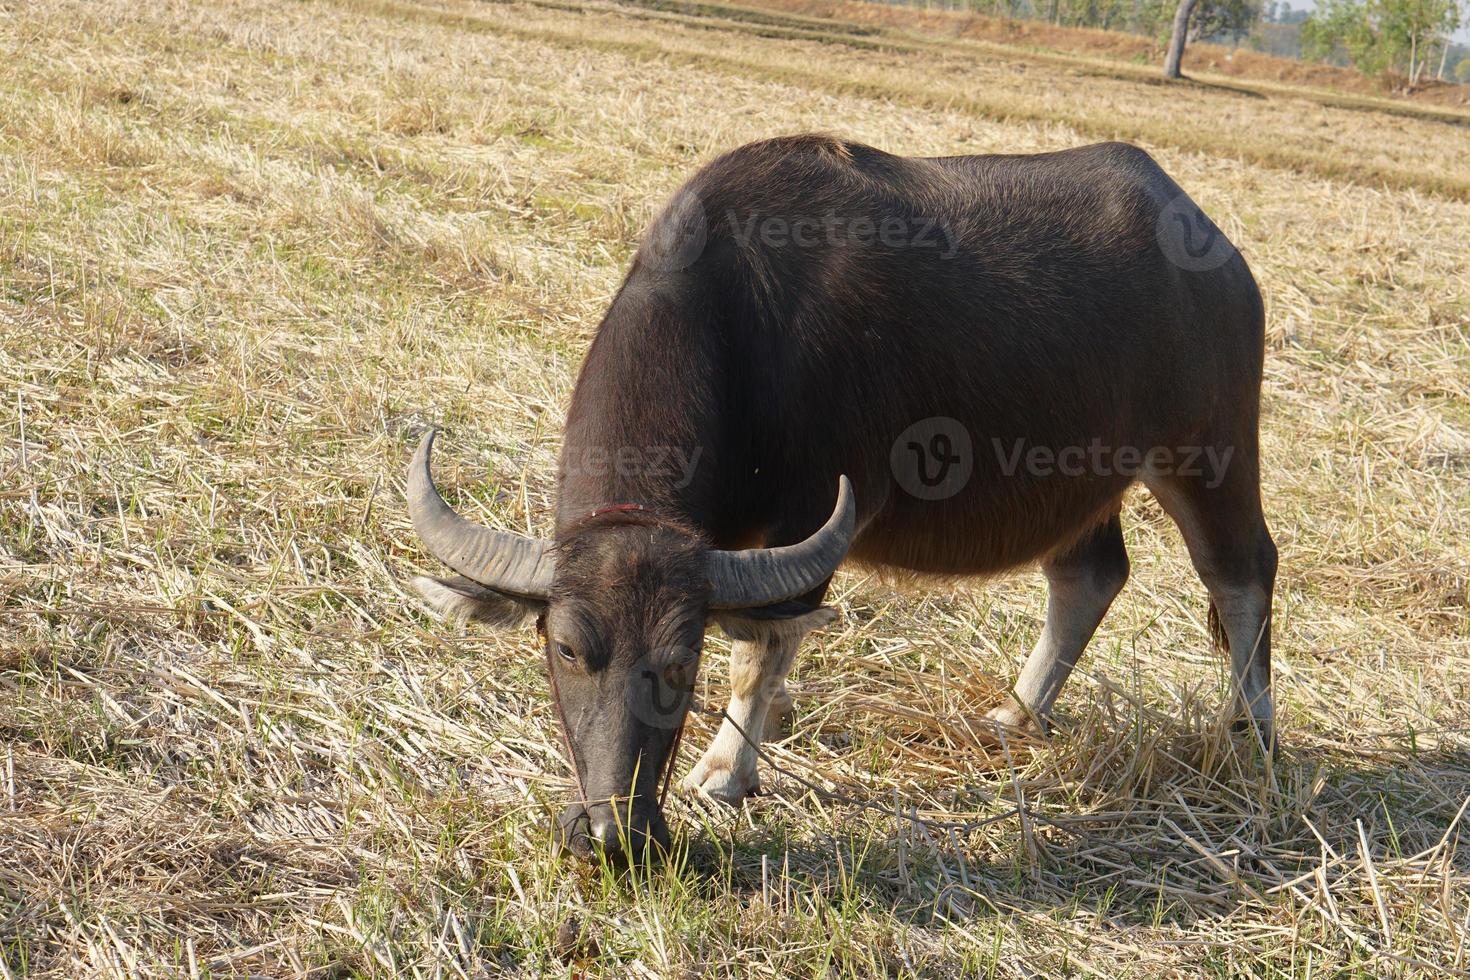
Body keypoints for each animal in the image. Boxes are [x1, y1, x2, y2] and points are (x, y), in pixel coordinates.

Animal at [402, 135, 1275, 858]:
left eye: (680, 663)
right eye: (566, 650)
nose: (612, 836)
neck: (747, 328)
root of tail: (1219, 254)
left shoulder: (813, 514)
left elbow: (758, 653)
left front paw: (725, 771)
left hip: (1210, 451)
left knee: (1241, 572)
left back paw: (1250, 734)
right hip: (1083, 485)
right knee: (1089, 577)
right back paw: (1016, 716)